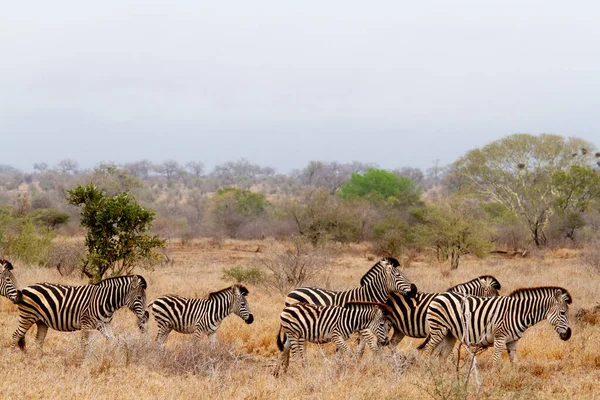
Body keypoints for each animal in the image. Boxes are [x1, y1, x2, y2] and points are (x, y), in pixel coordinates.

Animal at [12, 274, 148, 352]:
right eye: (139, 298)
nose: (145, 317)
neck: (105, 301)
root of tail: (26, 288)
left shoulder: (104, 325)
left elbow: (114, 341)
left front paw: (115, 357)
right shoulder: (86, 324)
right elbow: (84, 344)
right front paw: (82, 363)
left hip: (41, 321)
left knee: (39, 341)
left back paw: (40, 360)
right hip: (27, 317)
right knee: (16, 335)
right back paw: (14, 357)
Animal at [418, 286, 572, 368]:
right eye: (563, 313)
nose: (568, 334)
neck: (517, 313)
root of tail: (439, 295)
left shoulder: (512, 342)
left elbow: (515, 363)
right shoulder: (500, 337)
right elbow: (496, 361)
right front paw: (494, 379)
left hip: (448, 334)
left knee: (440, 355)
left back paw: (440, 376)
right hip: (438, 330)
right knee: (427, 351)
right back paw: (427, 372)